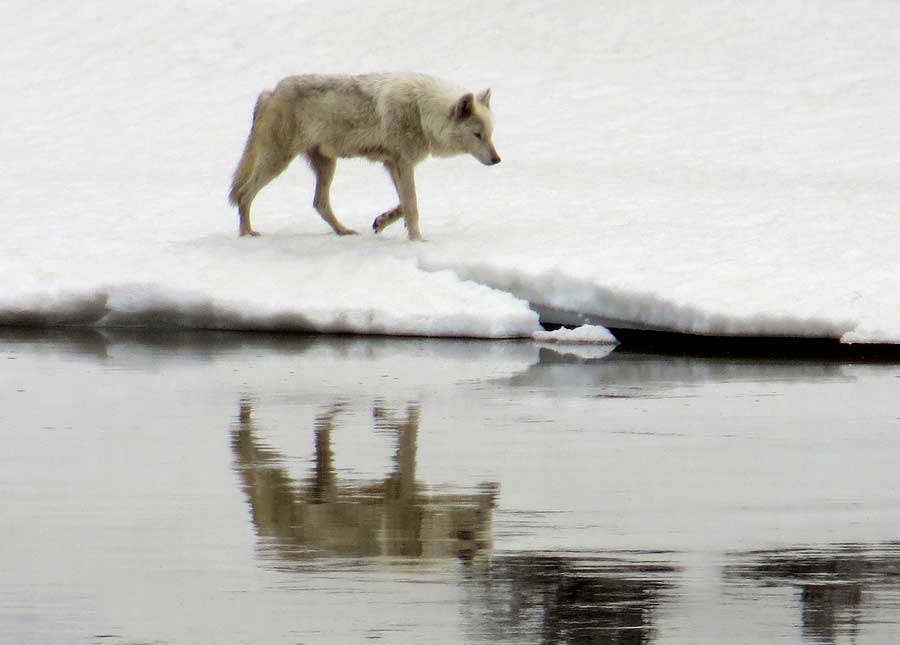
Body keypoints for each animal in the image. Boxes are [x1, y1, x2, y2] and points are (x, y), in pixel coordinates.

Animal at [229, 73, 500, 239]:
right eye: (477, 135)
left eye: (490, 134)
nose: (497, 160)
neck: (423, 112)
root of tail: (269, 93)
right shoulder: (403, 163)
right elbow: (412, 206)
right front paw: (417, 241)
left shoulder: (393, 164)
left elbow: (405, 204)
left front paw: (382, 221)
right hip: (278, 162)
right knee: (243, 194)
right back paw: (247, 234)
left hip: (327, 165)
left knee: (319, 203)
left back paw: (344, 231)